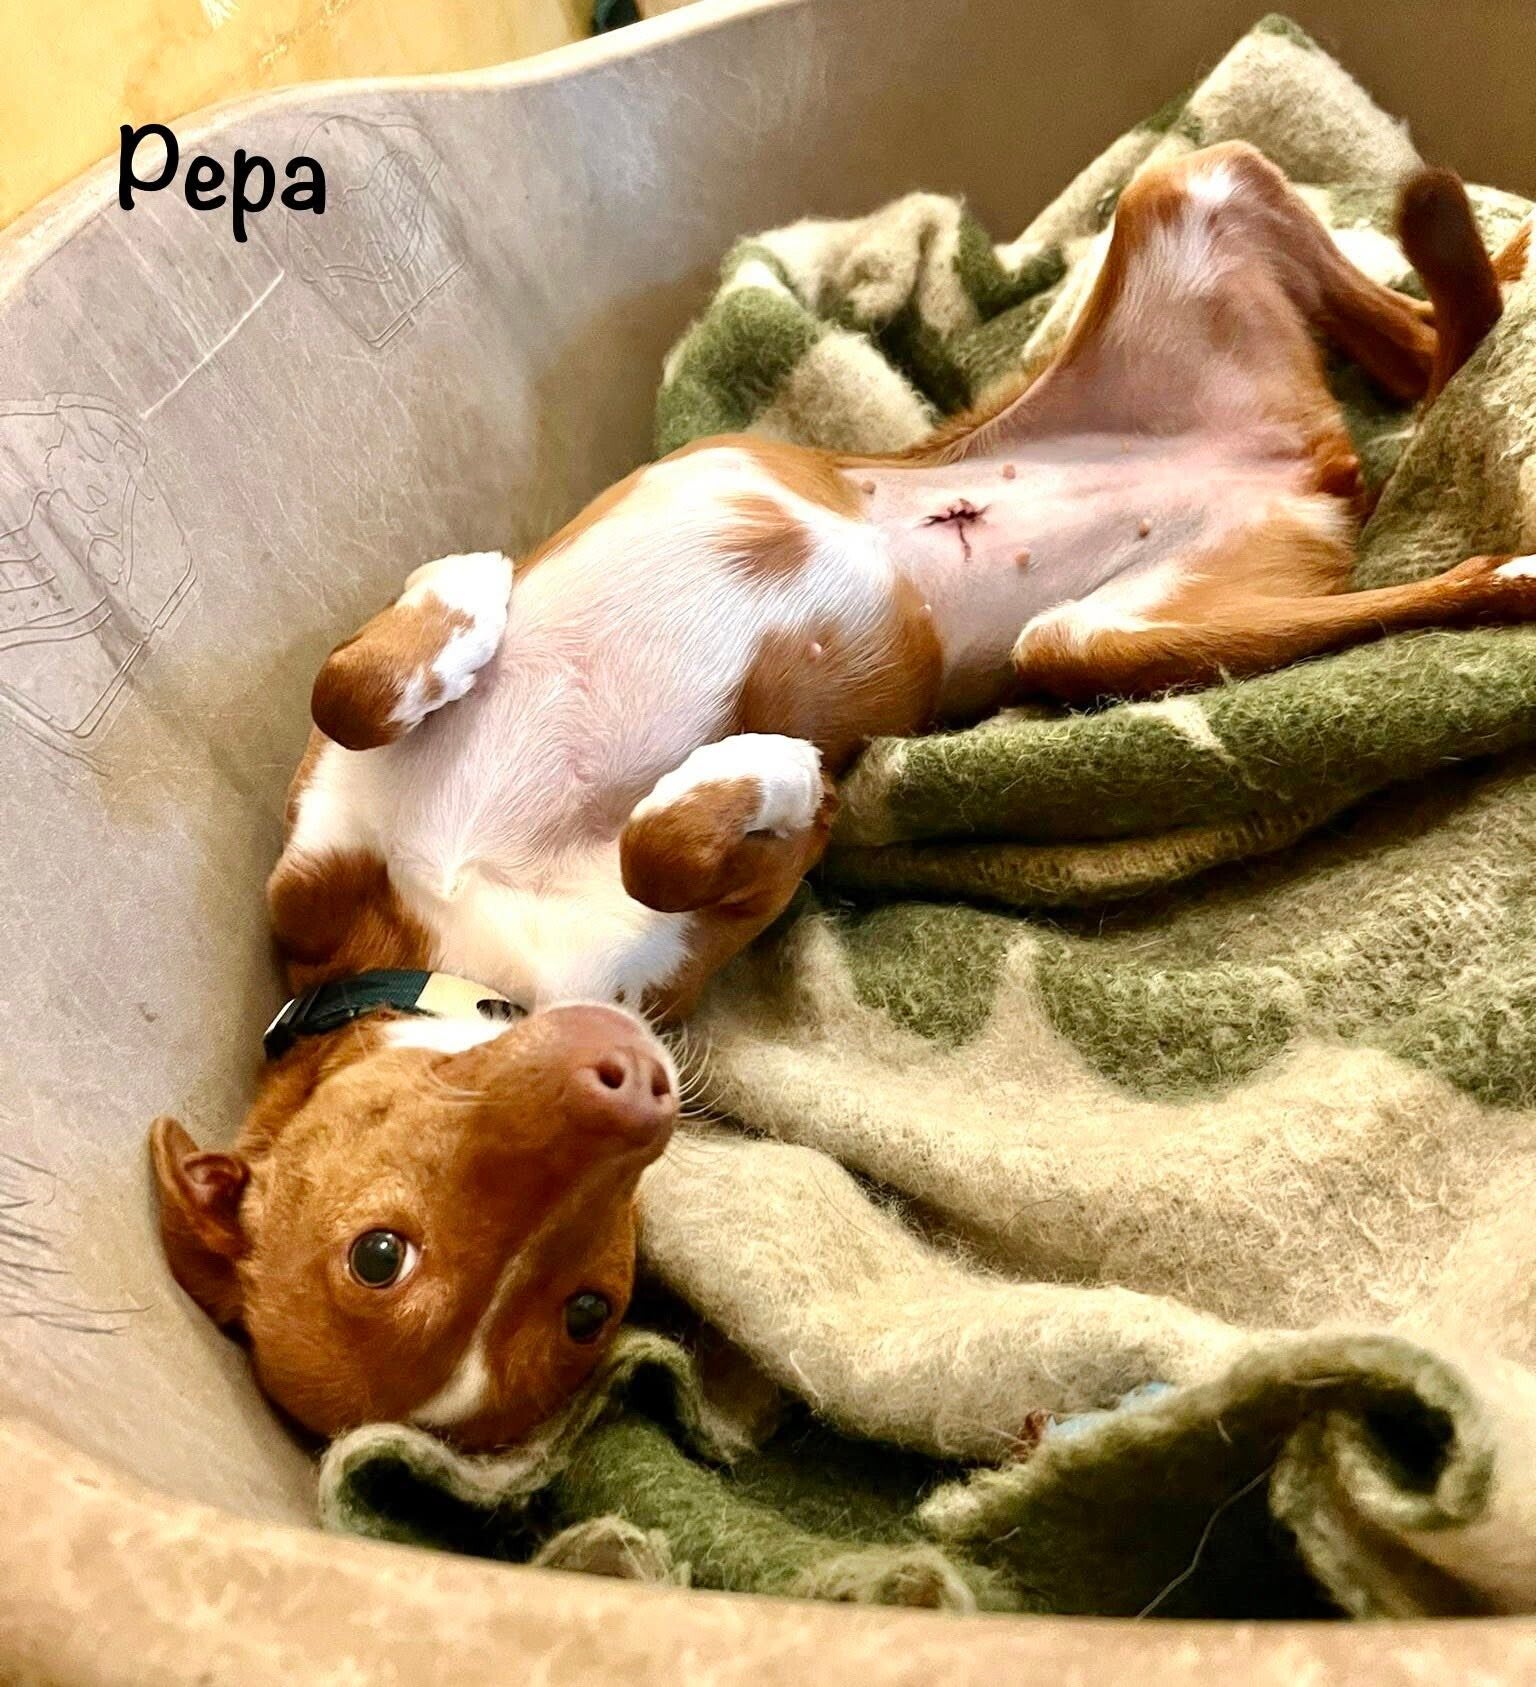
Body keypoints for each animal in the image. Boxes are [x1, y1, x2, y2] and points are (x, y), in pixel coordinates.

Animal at [151, 144, 1534, 1450]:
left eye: (379, 1252)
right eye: (586, 1307)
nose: (638, 1080)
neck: (468, 936)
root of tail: (1308, 462)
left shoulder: (320, 839)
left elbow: (355, 687)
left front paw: (475, 595)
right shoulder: (732, 901)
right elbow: (677, 841)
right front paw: (760, 763)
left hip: (1173, 203)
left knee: (1415, 334)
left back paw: (1477, 279)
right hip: (1104, 639)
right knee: (1417, 441)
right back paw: (1497, 534)